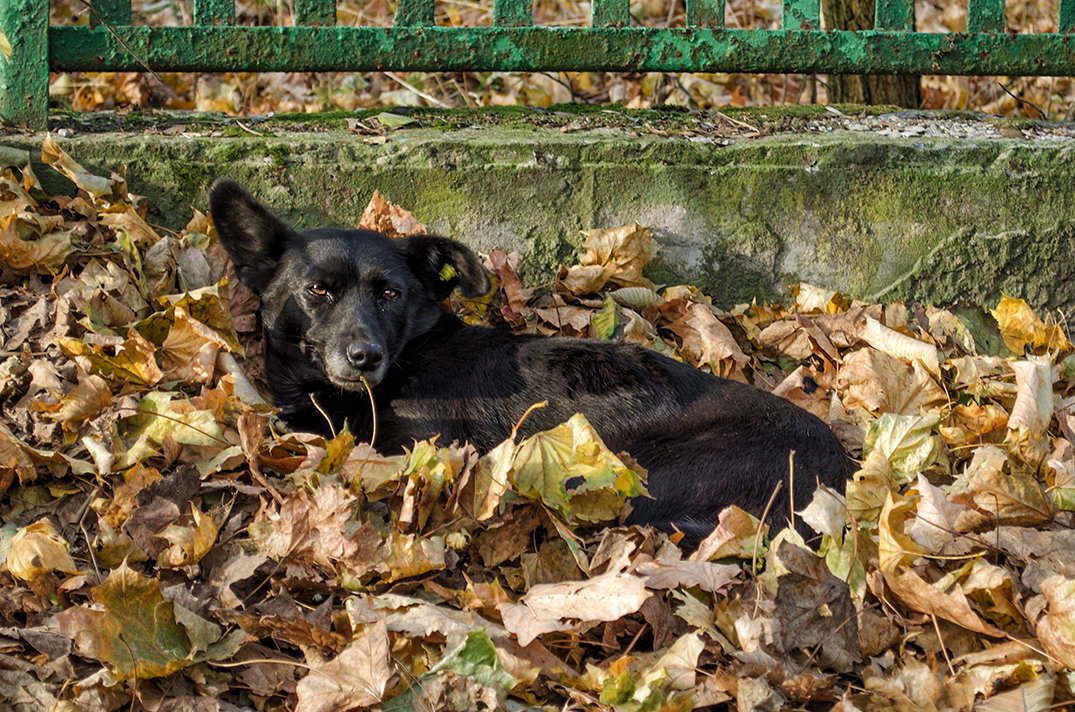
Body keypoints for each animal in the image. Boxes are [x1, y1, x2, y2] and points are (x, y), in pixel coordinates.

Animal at [207, 179, 847, 542]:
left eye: (389, 293)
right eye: (318, 290)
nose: (364, 356)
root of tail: (840, 476)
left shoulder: (423, 443)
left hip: (648, 475)